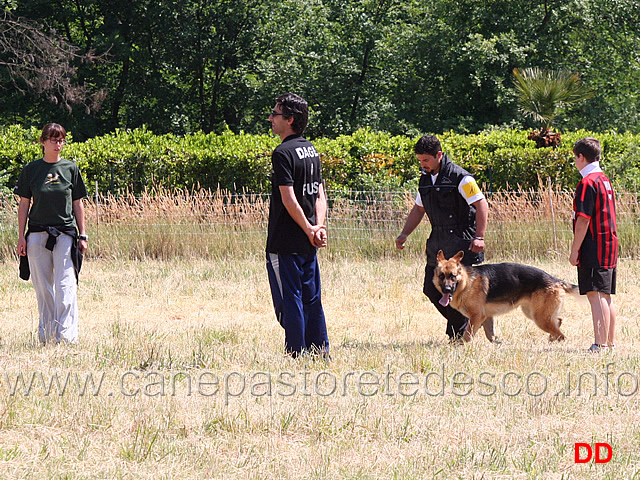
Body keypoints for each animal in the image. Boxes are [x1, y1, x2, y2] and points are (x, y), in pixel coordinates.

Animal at [436, 249, 580, 344]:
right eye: (441, 276)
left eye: (453, 276)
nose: (446, 290)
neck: (466, 282)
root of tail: (555, 280)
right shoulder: (486, 317)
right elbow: (490, 335)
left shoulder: (476, 316)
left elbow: (467, 335)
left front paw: (460, 347)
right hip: (533, 313)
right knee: (558, 321)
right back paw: (551, 338)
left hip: (539, 318)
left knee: (561, 334)